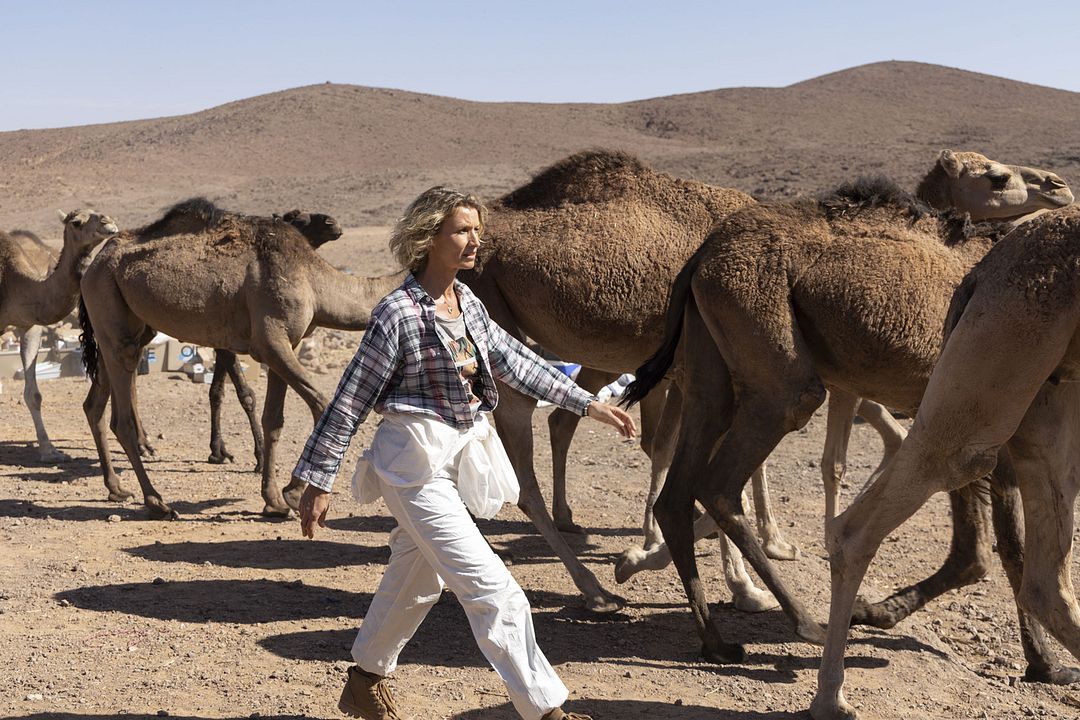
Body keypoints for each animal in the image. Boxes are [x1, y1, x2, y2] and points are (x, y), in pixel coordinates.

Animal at [78, 201, 401, 518]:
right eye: (300, 217)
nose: (334, 224)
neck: (313, 279)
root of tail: (94, 264)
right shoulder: (271, 341)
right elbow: (321, 406)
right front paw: (292, 493)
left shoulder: (287, 345)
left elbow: (273, 421)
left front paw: (274, 500)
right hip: (110, 311)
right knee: (121, 420)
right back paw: (157, 502)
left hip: (127, 328)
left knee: (95, 404)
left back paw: (116, 488)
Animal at [626, 160, 1071, 669]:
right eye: (997, 177)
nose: (1060, 186)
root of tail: (702, 254)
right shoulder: (988, 422)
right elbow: (998, 549)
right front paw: (1046, 663)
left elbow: (987, 548)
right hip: (771, 347)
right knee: (724, 478)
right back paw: (806, 623)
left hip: (709, 358)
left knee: (679, 490)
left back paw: (716, 641)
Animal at [812, 202, 1080, 720]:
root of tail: (981, 272)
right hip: (1008, 347)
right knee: (867, 521)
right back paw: (831, 698)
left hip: (1048, 383)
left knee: (1044, 578)